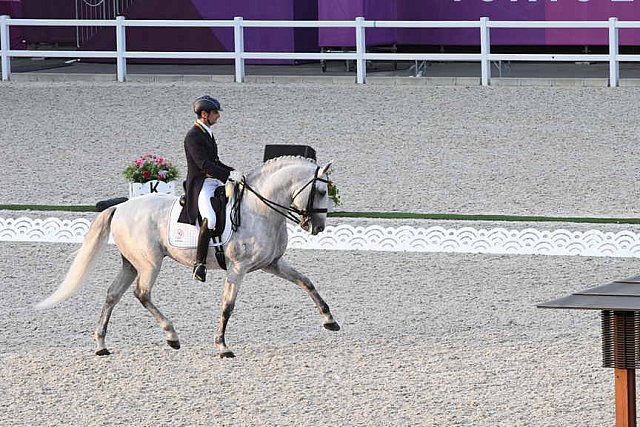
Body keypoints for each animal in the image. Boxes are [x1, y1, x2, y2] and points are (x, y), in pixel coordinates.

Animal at [36, 156, 340, 358]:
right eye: (321, 191)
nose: (318, 227)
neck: (260, 209)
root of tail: (121, 207)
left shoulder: (272, 264)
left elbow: (306, 282)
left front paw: (329, 320)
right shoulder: (238, 268)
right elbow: (228, 306)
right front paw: (222, 346)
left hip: (131, 263)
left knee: (113, 294)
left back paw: (101, 344)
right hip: (149, 263)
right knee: (141, 293)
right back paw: (171, 335)